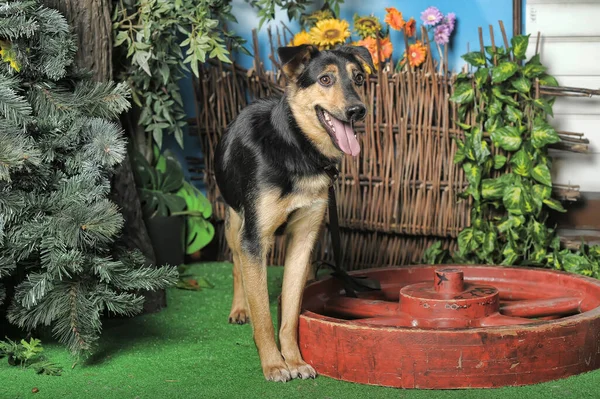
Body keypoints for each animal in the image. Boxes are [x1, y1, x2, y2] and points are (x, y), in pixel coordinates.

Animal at [216, 43, 372, 382]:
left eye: (358, 79)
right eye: (325, 79)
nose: (357, 110)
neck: (299, 149)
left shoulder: (303, 239)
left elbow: (289, 312)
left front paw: (295, 360)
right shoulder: (254, 238)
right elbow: (263, 315)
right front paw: (274, 364)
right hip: (236, 224)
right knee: (237, 264)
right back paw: (240, 308)